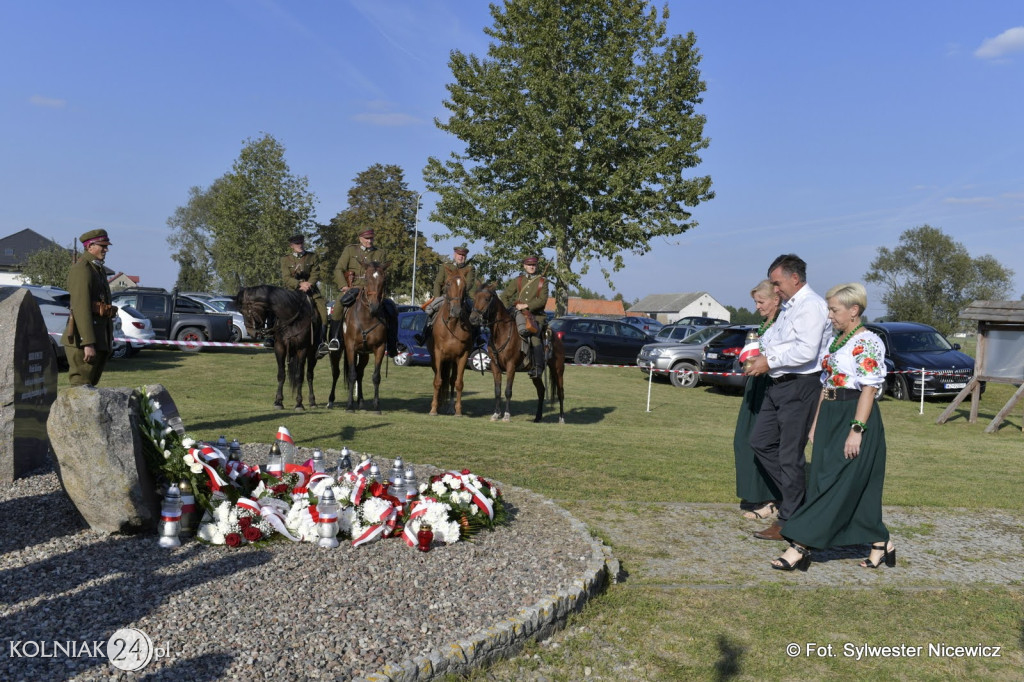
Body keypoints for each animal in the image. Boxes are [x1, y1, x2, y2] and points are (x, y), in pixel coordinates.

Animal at [329, 259, 389, 409]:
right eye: (366, 279)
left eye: (384, 280)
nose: (374, 306)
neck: (367, 317)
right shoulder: (351, 347)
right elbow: (351, 374)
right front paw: (349, 405)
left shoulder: (380, 348)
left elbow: (376, 376)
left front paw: (376, 406)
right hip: (336, 353)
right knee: (336, 373)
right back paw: (331, 400)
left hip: (363, 354)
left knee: (360, 373)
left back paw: (361, 400)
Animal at [425, 266, 473, 413]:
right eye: (448, 284)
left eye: (464, 286)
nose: (456, 310)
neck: (452, 325)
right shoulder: (438, 354)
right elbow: (437, 381)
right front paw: (433, 409)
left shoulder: (463, 356)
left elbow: (458, 383)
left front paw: (458, 410)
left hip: (452, 361)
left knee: (451, 380)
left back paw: (450, 406)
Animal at [468, 280, 565, 419]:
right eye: (475, 298)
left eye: (487, 298)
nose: (473, 319)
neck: (501, 334)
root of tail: (556, 337)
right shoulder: (495, 367)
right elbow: (497, 391)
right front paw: (496, 414)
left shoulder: (511, 366)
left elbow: (508, 391)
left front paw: (506, 415)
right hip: (536, 375)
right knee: (541, 391)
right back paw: (538, 417)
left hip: (558, 369)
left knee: (561, 392)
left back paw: (561, 418)